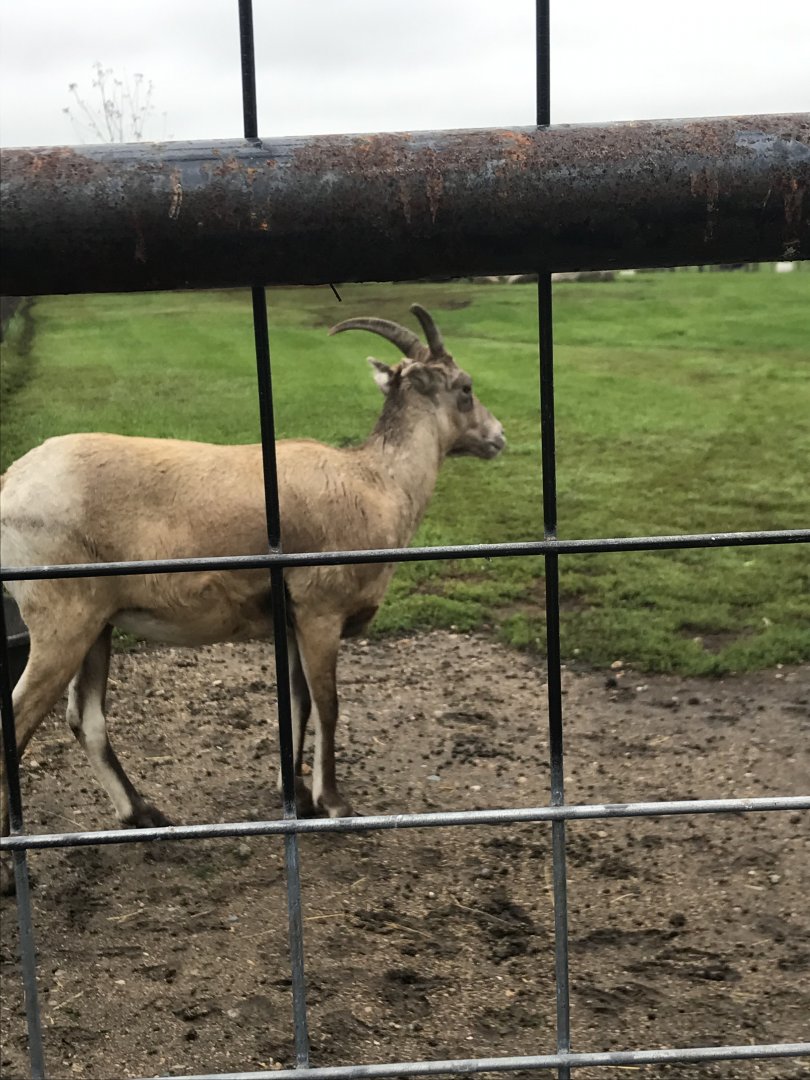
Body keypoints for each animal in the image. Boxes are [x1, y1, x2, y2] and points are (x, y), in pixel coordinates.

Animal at [0, 304, 505, 892]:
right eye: (465, 388)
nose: (497, 437)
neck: (374, 484)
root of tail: (11, 484)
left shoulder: (290, 622)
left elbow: (299, 702)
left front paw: (298, 798)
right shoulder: (320, 612)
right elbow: (328, 704)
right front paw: (334, 804)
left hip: (96, 623)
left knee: (86, 718)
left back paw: (144, 814)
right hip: (62, 619)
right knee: (22, 721)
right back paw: (12, 872)